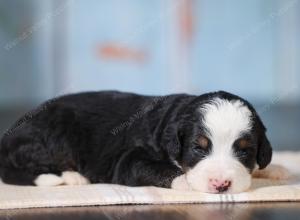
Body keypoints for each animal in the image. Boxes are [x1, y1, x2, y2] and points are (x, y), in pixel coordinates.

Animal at [0, 90, 274, 192]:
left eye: (244, 152)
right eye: (198, 147)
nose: (221, 184)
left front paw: (275, 170)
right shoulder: (129, 160)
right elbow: (151, 167)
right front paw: (184, 182)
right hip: (53, 137)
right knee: (16, 171)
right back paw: (68, 177)